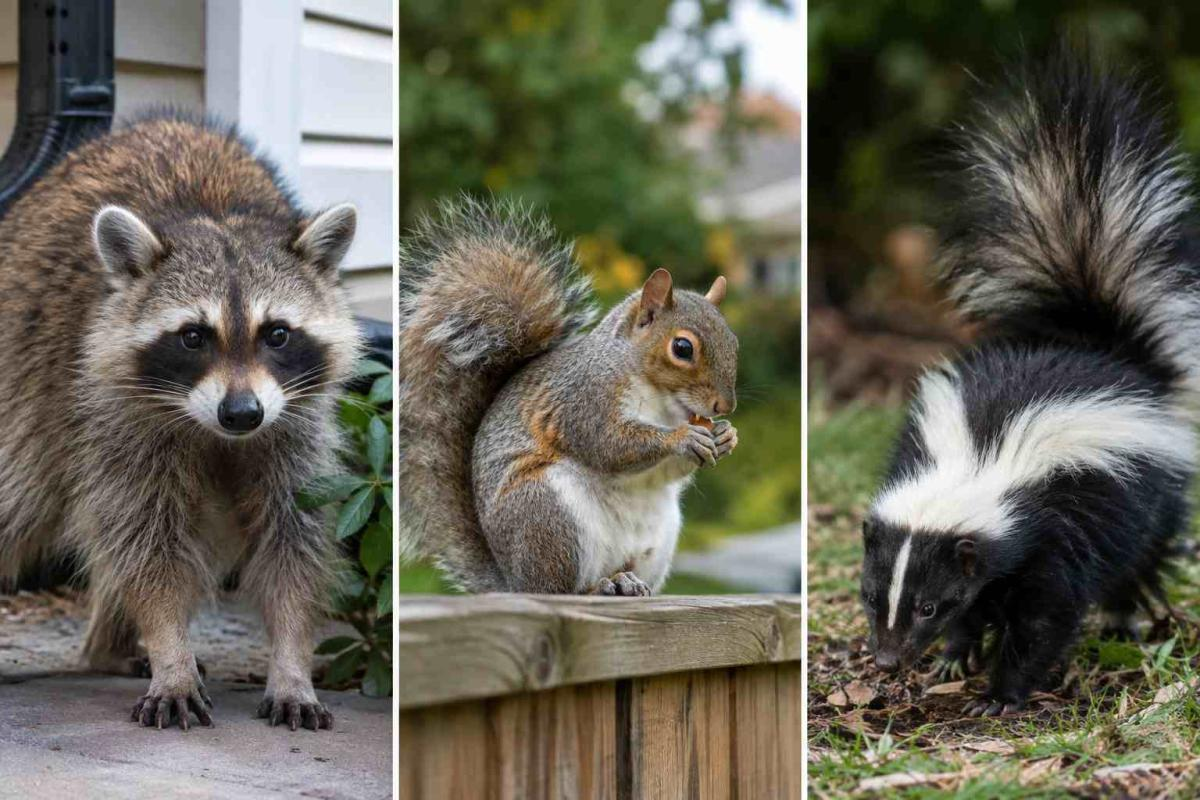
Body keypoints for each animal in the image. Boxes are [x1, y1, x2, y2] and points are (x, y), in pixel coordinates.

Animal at [0, 113, 361, 732]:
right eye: (194, 336)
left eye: (278, 333)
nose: (242, 413)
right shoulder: (119, 415)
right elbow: (150, 546)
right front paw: (171, 650)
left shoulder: (295, 425)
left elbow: (293, 543)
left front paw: (292, 662)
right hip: (26, 382)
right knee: (21, 497)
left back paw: (107, 645)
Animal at [398, 198, 739, 594]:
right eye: (682, 348)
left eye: (733, 342)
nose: (725, 406)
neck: (659, 400)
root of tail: (513, 581)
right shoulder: (584, 398)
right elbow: (608, 443)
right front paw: (683, 438)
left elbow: (670, 473)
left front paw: (726, 435)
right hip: (547, 515)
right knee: (558, 588)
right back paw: (598, 587)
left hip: (657, 540)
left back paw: (627, 582)